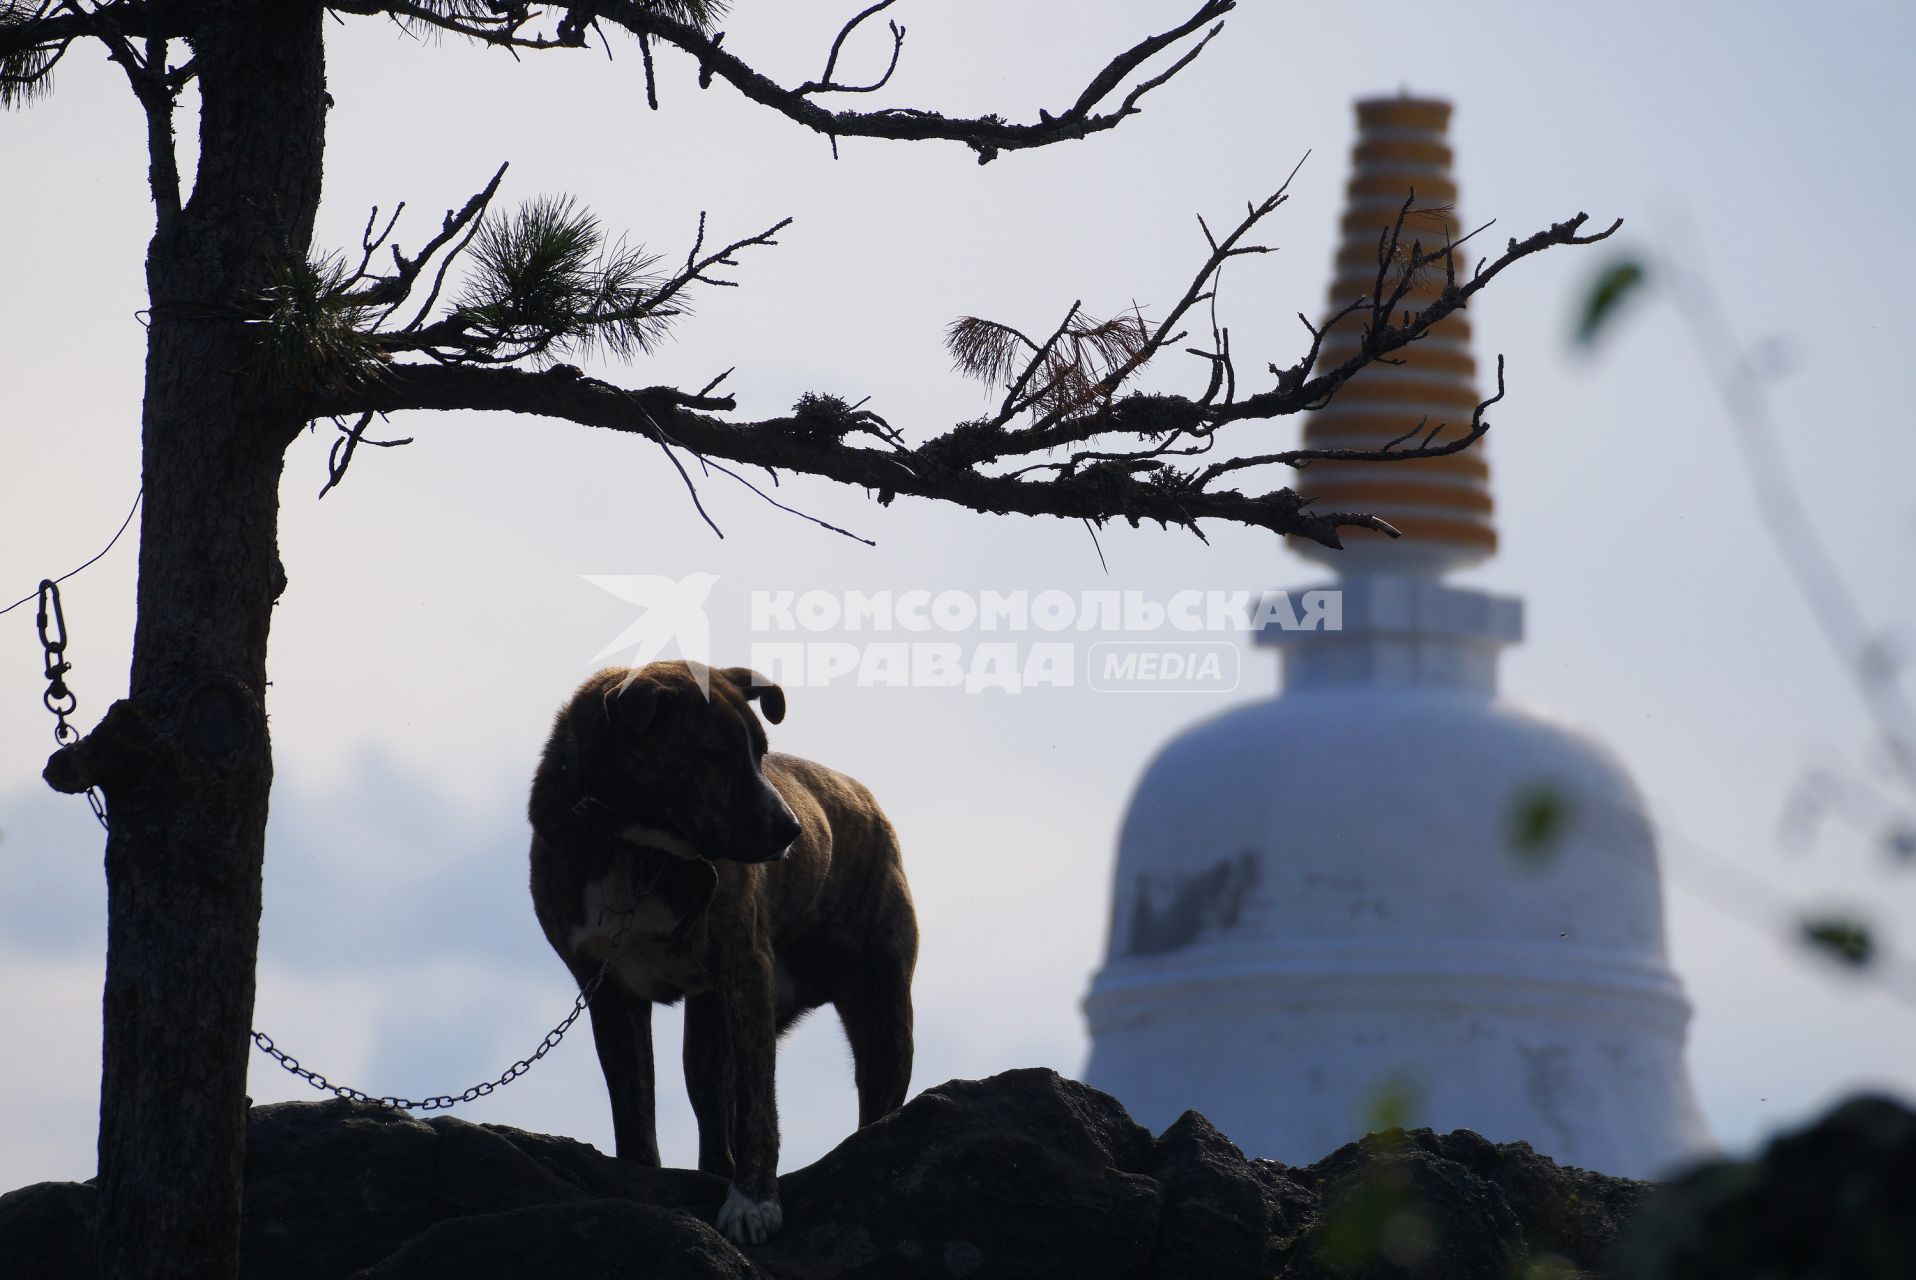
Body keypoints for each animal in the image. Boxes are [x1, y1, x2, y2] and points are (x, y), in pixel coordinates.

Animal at [524, 666, 912, 1241]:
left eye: (761, 752)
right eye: (713, 754)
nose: (793, 830)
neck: (639, 850)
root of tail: (864, 800)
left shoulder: (745, 970)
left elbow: (757, 1107)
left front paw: (753, 1201)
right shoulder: (608, 990)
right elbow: (633, 1108)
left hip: (881, 1006)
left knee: (877, 1101)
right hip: (709, 1032)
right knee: (710, 1107)